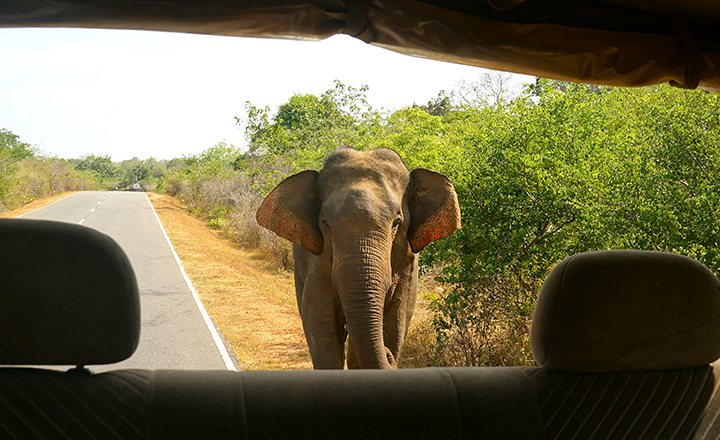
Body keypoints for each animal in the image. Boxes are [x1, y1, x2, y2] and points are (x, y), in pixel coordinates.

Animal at [258, 148, 462, 368]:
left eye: (397, 222)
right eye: (325, 223)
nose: (388, 355)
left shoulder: (409, 265)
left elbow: (396, 322)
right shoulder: (318, 262)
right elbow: (321, 325)